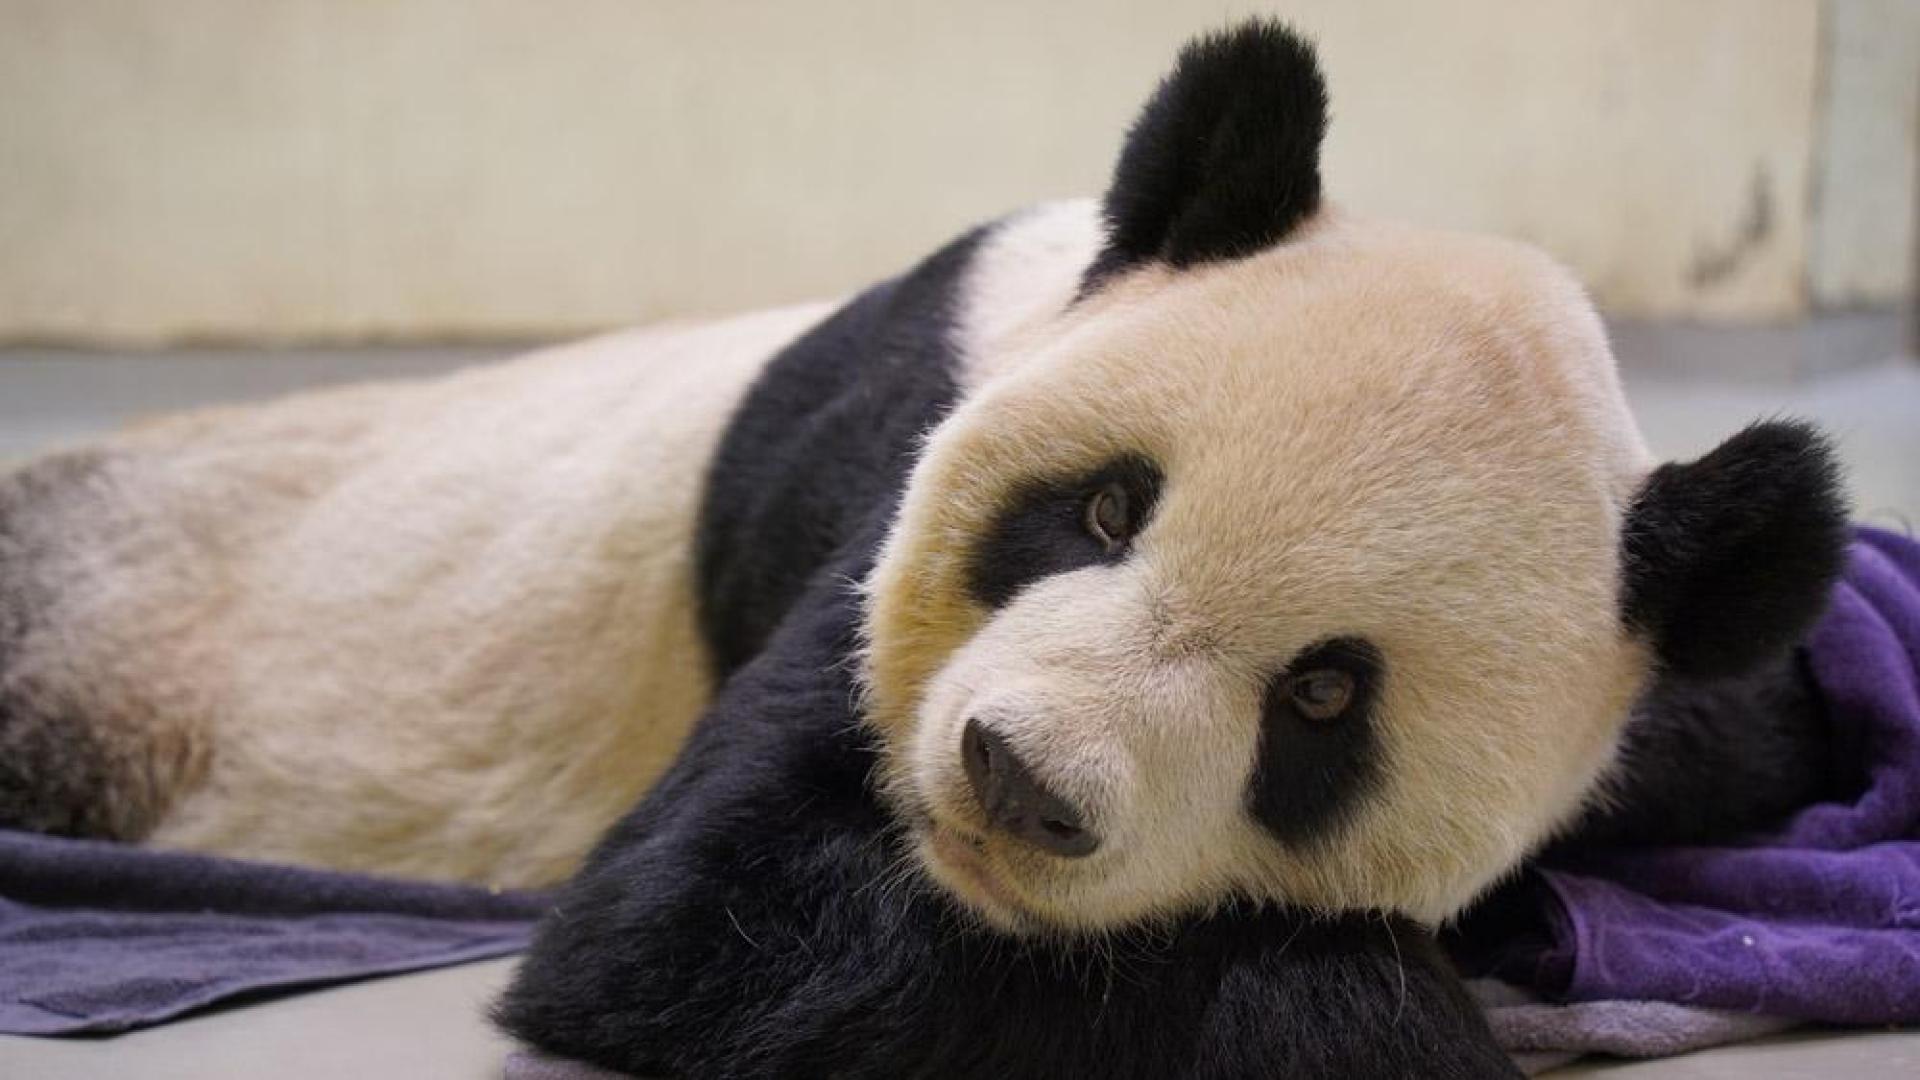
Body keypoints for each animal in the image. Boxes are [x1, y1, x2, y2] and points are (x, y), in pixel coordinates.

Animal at [1, 20, 1845, 1077]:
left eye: (1326, 699)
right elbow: (688, 909)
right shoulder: (882, 503)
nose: (1017, 780)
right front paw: (1407, 1034)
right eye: (1103, 509)